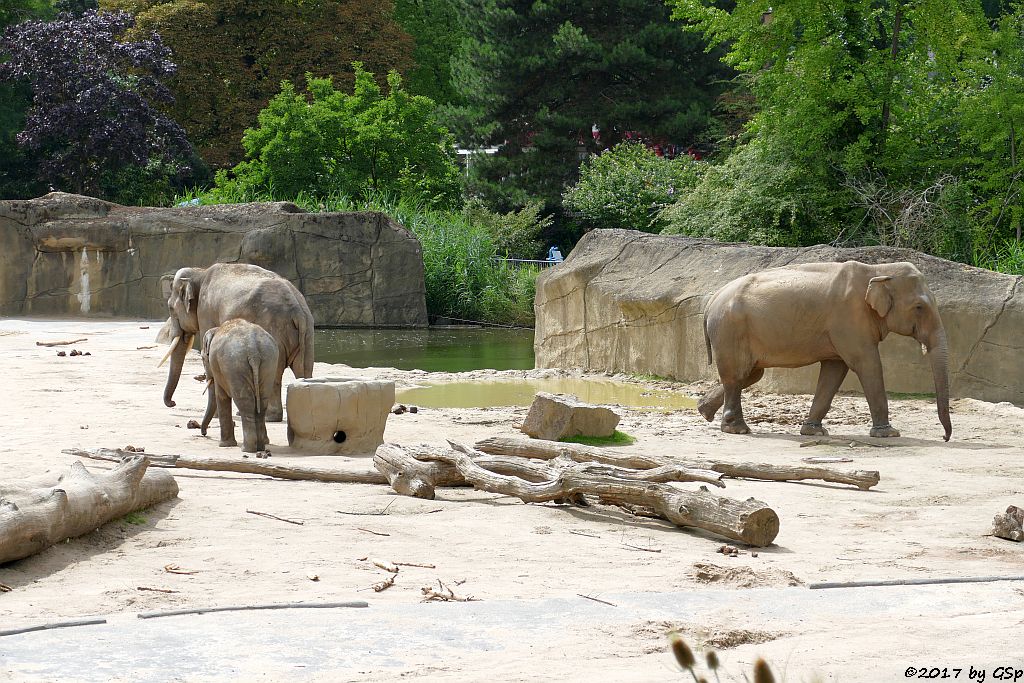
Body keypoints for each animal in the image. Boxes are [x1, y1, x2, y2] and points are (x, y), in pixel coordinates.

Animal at [157, 264, 311, 419]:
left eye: (171, 308)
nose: (173, 403)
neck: (200, 272)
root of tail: (297, 309)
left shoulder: (205, 310)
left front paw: (215, 416)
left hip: (276, 330)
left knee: (275, 374)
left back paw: (270, 416)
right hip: (307, 331)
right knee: (303, 368)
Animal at [198, 319, 280, 454]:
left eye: (203, 359)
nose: (204, 433)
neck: (216, 329)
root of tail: (254, 352)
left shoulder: (218, 369)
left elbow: (221, 396)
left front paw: (225, 445)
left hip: (235, 367)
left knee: (245, 404)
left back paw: (247, 449)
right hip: (269, 363)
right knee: (262, 403)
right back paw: (259, 447)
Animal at [696, 262, 950, 444]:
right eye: (919, 307)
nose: (945, 437)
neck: (878, 270)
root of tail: (711, 301)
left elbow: (834, 370)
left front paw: (814, 432)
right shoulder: (849, 320)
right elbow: (867, 364)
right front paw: (888, 434)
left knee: (749, 374)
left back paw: (704, 411)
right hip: (730, 330)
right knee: (738, 375)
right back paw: (736, 429)